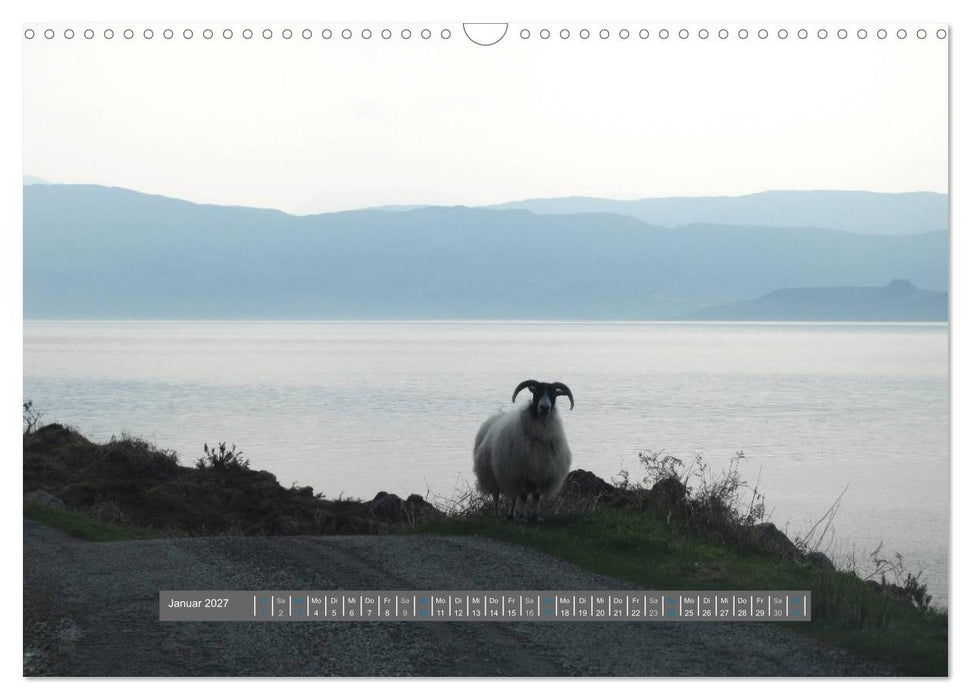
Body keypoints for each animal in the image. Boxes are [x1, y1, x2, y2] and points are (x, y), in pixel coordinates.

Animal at [473, 379, 574, 523]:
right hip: (492, 475)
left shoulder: (539, 473)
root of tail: (496, 416)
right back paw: (497, 515)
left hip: (509, 476)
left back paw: (511, 515)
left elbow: (536, 497)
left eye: (553, 394)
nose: (545, 408)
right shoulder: (522, 474)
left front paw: (537, 516)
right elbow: (524, 497)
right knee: (496, 496)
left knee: (513, 497)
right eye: (537, 393)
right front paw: (524, 517)